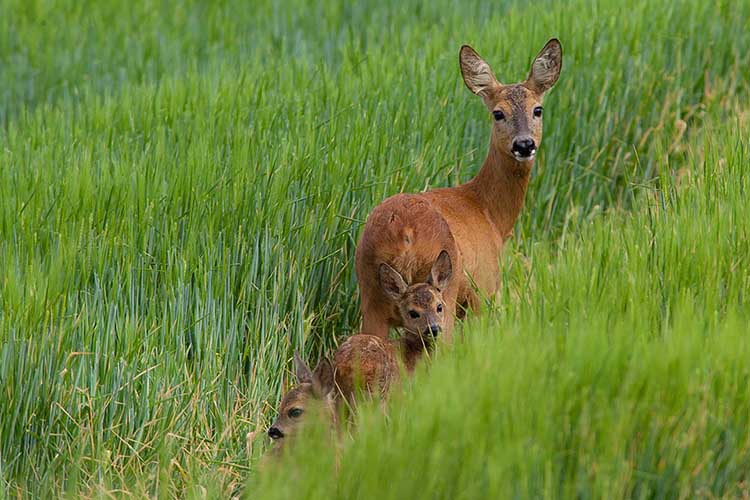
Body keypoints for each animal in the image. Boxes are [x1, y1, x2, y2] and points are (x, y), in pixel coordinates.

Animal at [356, 37, 560, 338]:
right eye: (498, 113)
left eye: (538, 109)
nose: (524, 144)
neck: (490, 215)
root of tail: (404, 233)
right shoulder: (483, 291)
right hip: (445, 293)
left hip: (370, 296)